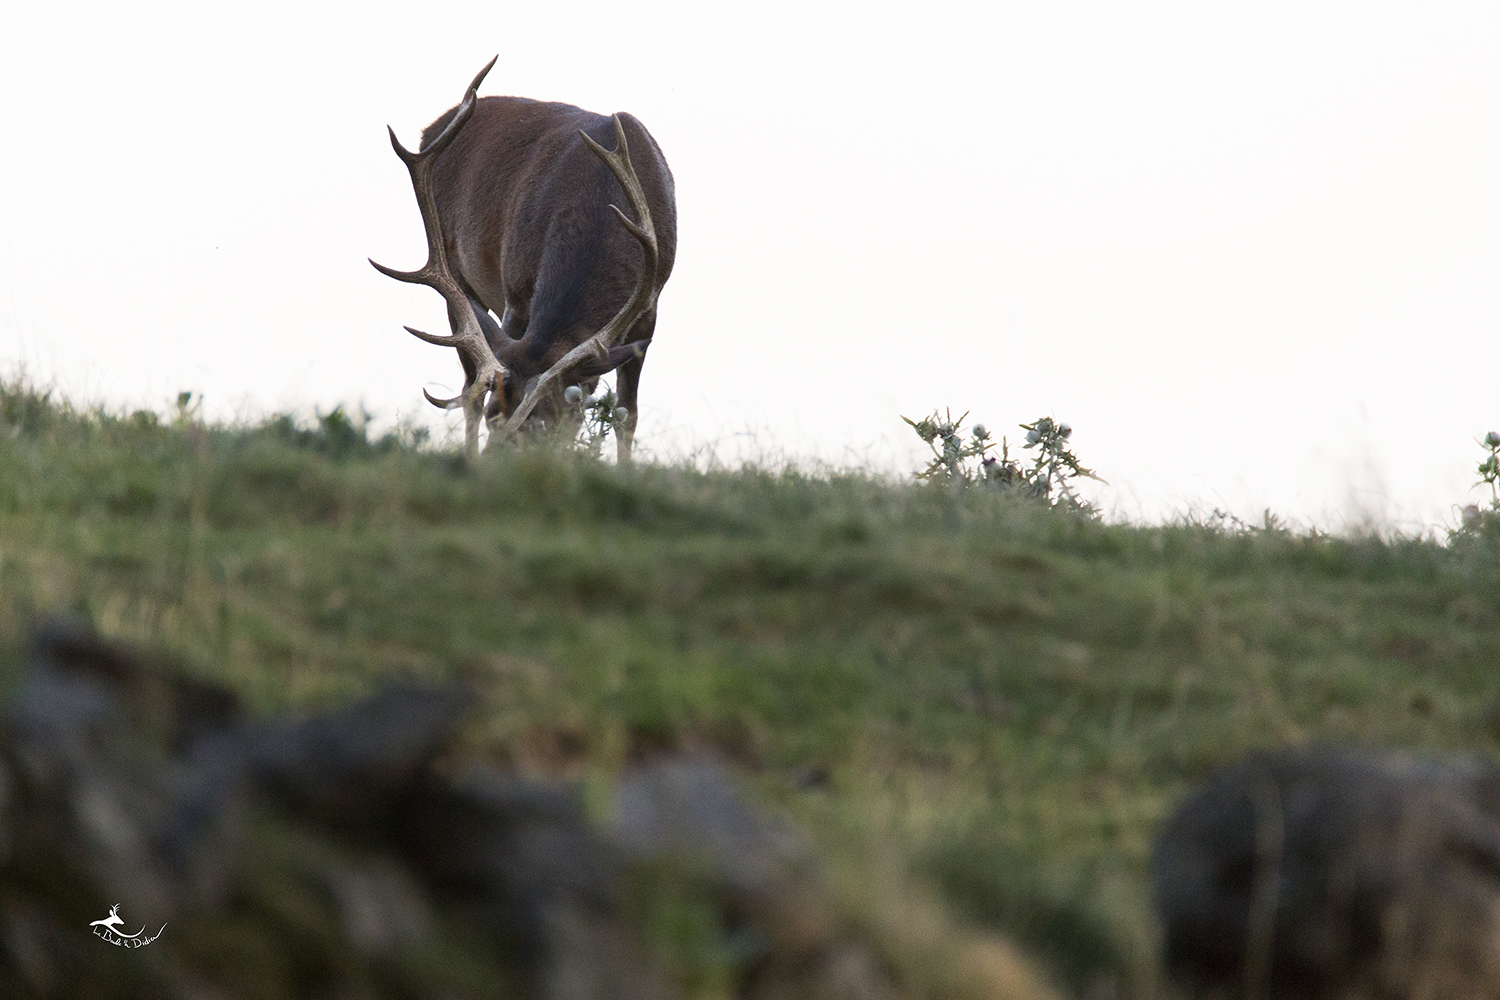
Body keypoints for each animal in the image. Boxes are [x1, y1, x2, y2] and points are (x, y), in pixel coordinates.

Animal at [372, 61, 678, 464]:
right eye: (494, 415)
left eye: (545, 424)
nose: (494, 464)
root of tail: (432, 130)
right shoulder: (516, 292)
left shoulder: (649, 313)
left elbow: (627, 415)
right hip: (457, 273)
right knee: (468, 387)